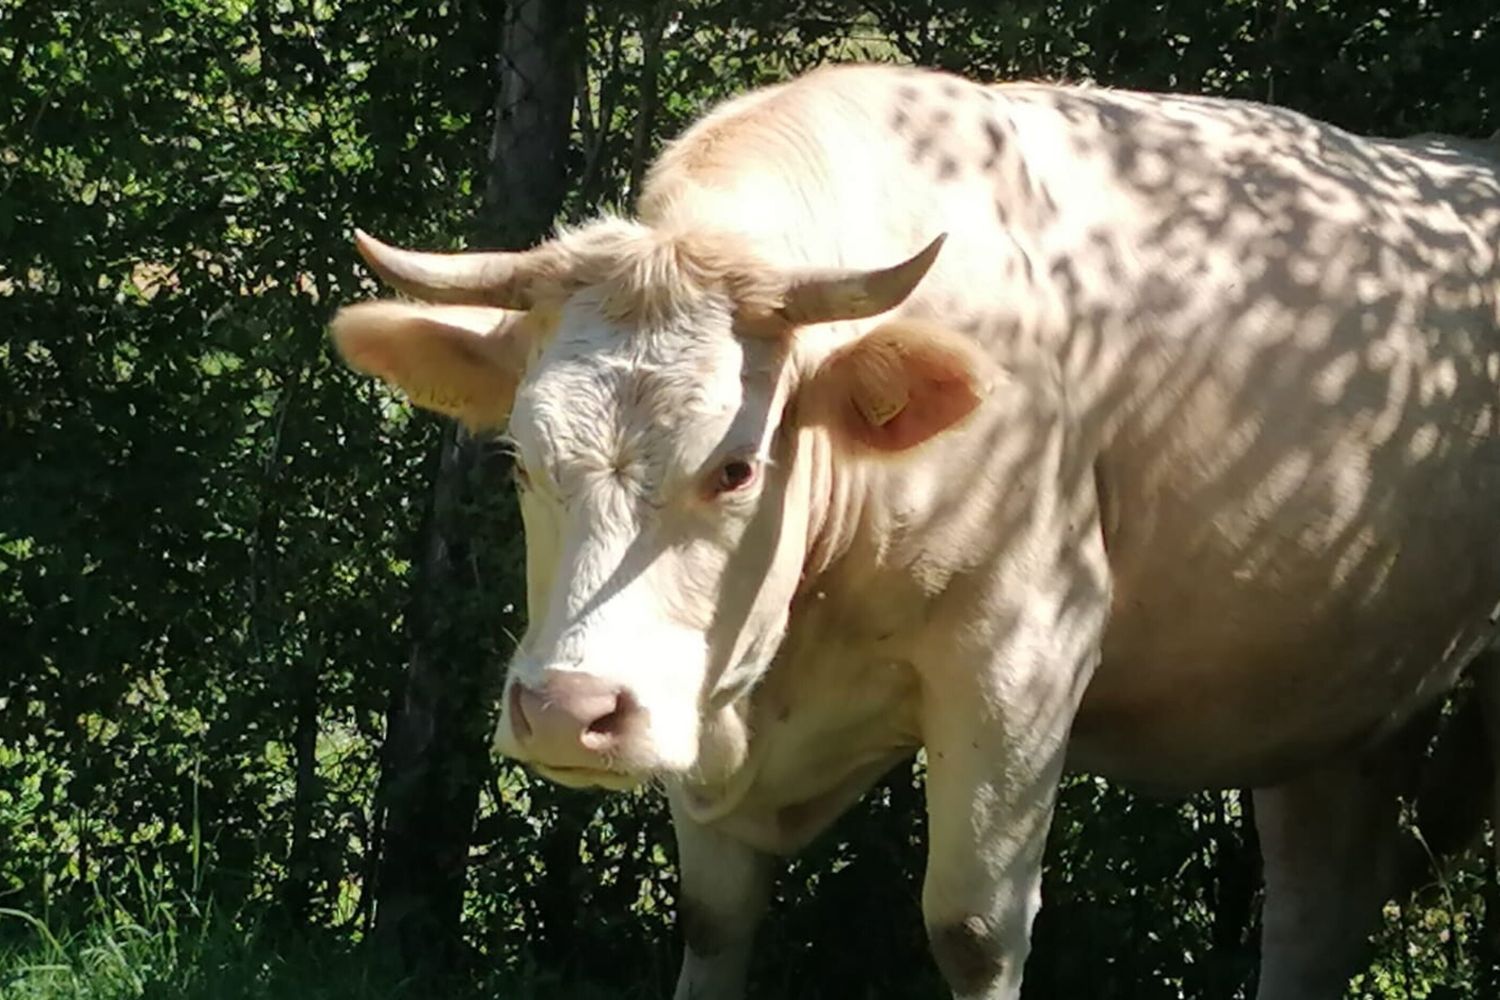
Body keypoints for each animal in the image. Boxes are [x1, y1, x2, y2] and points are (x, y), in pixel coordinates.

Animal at [329, 63, 1500, 999]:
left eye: (735, 466)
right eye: (519, 460)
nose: (571, 712)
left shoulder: (1023, 654)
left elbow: (973, 929)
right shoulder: (707, 700)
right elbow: (712, 916)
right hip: (1336, 695)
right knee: (1320, 891)